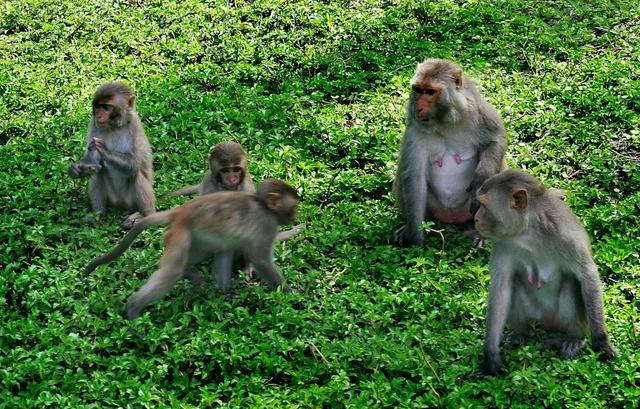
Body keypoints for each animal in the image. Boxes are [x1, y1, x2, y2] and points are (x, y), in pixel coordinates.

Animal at [68, 81, 155, 229]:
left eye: (106, 107)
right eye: (97, 106)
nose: (98, 116)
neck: (115, 126)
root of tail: (120, 206)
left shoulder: (135, 125)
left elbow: (135, 163)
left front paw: (104, 150)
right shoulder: (94, 124)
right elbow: (92, 160)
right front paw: (75, 169)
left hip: (130, 202)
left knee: (136, 173)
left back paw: (145, 217)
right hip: (112, 199)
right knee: (97, 172)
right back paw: (99, 215)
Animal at [85, 178, 300, 321]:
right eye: (294, 205)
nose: (296, 214)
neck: (264, 206)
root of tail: (180, 211)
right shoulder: (267, 225)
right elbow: (261, 260)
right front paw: (291, 294)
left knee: (217, 249)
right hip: (181, 232)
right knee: (172, 271)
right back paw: (134, 306)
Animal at [393, 59, 507, 247]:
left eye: (430, 92)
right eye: (417, 90)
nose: (418, 108)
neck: (444, 122)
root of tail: (452, 217)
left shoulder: (477, 110)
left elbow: (496, 138)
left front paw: (480, 178)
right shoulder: (414, 130)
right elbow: (415, 179)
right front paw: (416, 241)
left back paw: (482, 234)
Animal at [474, 170, 618, 376]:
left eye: (484, 205)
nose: (476, 219)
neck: (528, 233)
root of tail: (547, 321)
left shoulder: (567, 238)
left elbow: (588, 275)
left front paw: (601, 343)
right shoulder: (503, 242)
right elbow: (501, 287)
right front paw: (490, 354)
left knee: (570, 283)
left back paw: (574, 338)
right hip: (534, 314)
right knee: (514, 284)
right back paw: (521, 335)